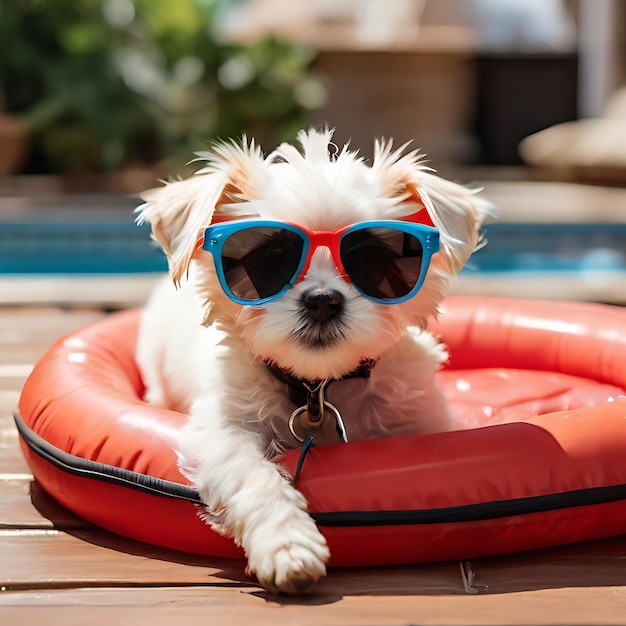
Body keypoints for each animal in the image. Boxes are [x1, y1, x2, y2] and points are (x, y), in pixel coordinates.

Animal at [135, 127, 492, 588]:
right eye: (271, 260)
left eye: (370, 258)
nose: (322, 300)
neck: (319, 387)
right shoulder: (222, 428)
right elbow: (252, 473)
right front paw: (287, 544)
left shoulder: (423, 422)